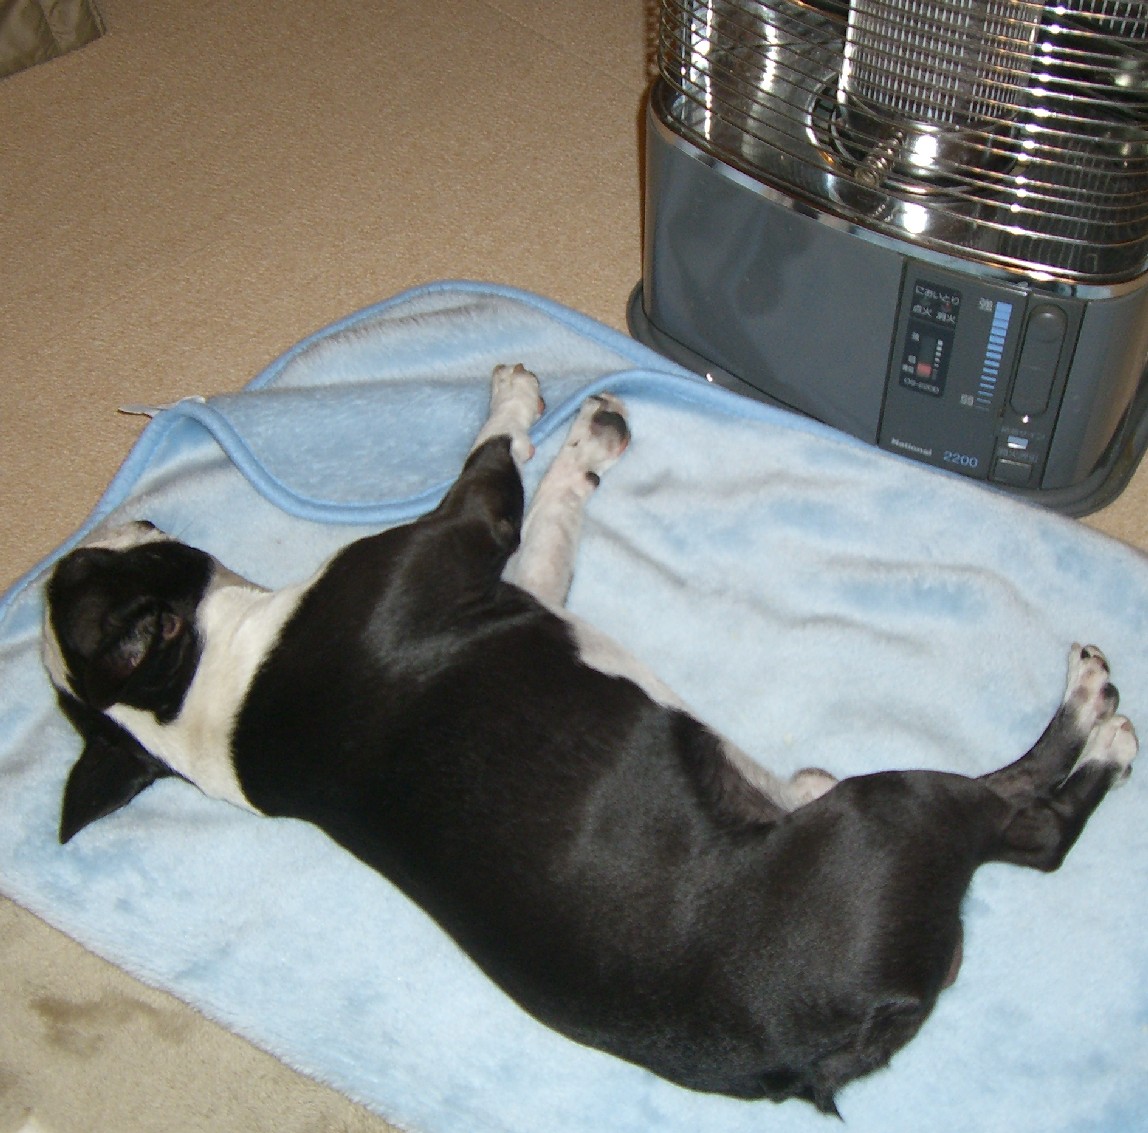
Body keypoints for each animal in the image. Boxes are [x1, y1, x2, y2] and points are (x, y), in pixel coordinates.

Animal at [42, 364, 1138, 1114]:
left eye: (74, 574)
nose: (106, 525)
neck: (211, 684)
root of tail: (817, 1042)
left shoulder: (529, 587)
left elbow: (554, 523)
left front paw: (577, 442)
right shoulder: (467, 535)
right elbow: (498, 466)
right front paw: (531, 406)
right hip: (895, 809)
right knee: (1028, 826)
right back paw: (1095, 715)